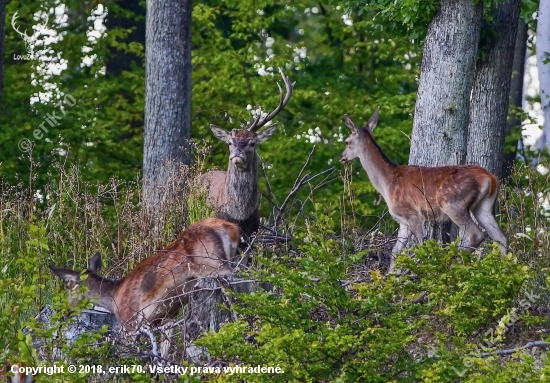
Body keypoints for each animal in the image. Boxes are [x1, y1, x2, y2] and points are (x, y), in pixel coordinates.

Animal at [50, 218, 242, 358]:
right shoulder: (168, 315)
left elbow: (125, 355)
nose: (63, 311)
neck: (113, 297)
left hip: (213, 264)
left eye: (68, 286)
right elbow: (164, 349)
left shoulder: (129, 322)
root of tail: (229, 227)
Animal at [338, 106, 512, 272]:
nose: (341, 157)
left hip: (453, 203)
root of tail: (490, 178)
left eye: (346, 141)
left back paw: (453, 264)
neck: (387, 183)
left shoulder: (413, 214)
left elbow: (421, 246)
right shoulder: (403, 222)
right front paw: (392, 277)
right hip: (484, 207)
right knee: (502, 238)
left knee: (477, 234)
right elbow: (395, 252)